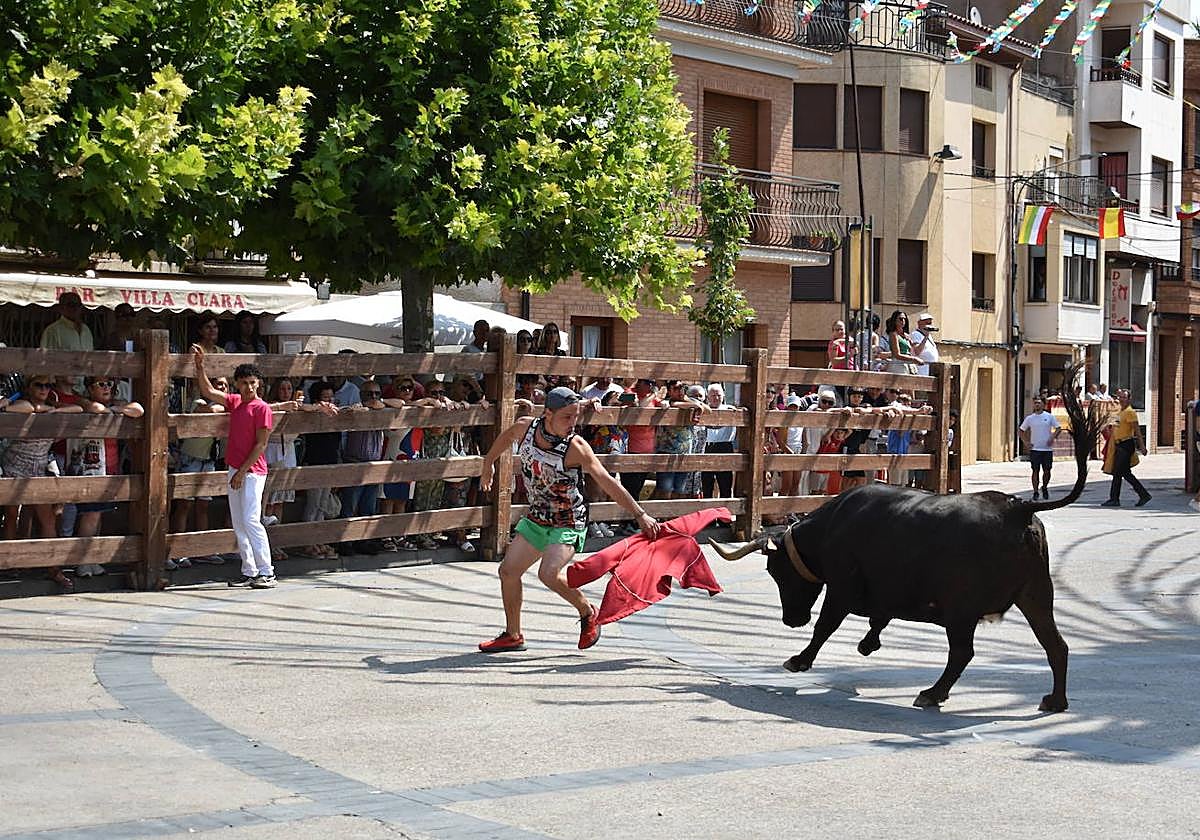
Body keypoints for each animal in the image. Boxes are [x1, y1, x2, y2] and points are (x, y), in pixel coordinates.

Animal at [711, 364, 1098, 713]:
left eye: (777, 572)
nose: (791, 620)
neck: (833, 525)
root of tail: (1018, 508)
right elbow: (877, 618)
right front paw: (867, 644)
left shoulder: (841, 587)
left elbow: (826, 625)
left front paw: (799, 659)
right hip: (1035, 596)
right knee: (1056, 645)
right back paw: (1055, 700)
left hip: (964, 609)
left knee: (963, 652)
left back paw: (932, 693)